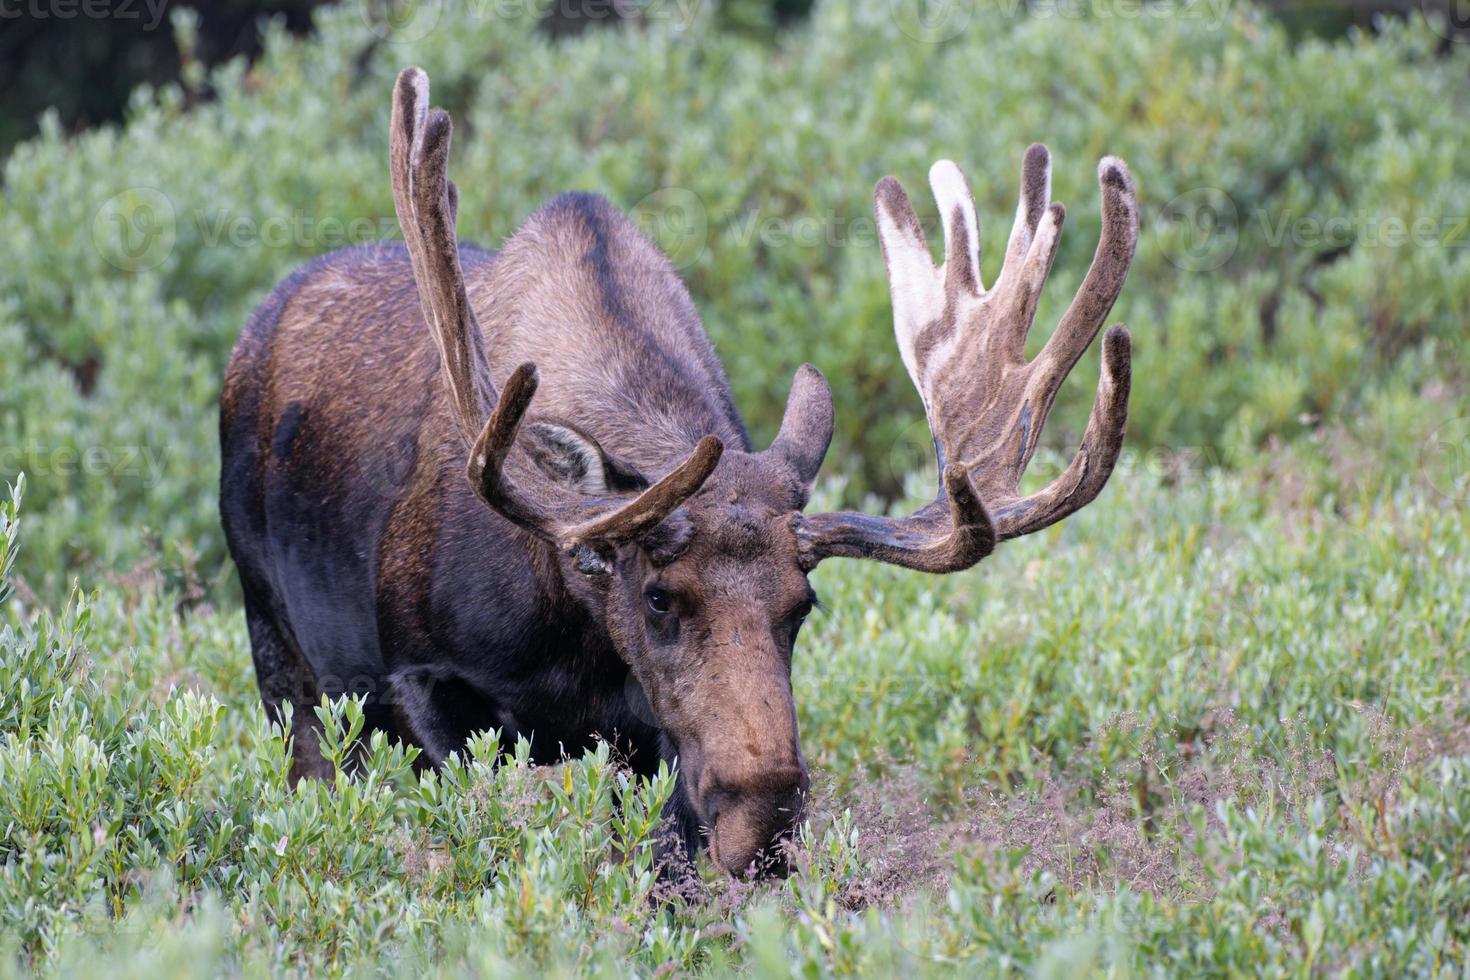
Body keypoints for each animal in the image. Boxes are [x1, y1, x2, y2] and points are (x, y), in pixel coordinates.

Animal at [214, 70, 1134, 881]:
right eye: (658, 598)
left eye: (803, 606)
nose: (763, 823)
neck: (563, 628)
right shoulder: (420, 678)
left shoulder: (650, 745)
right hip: (277, 645)